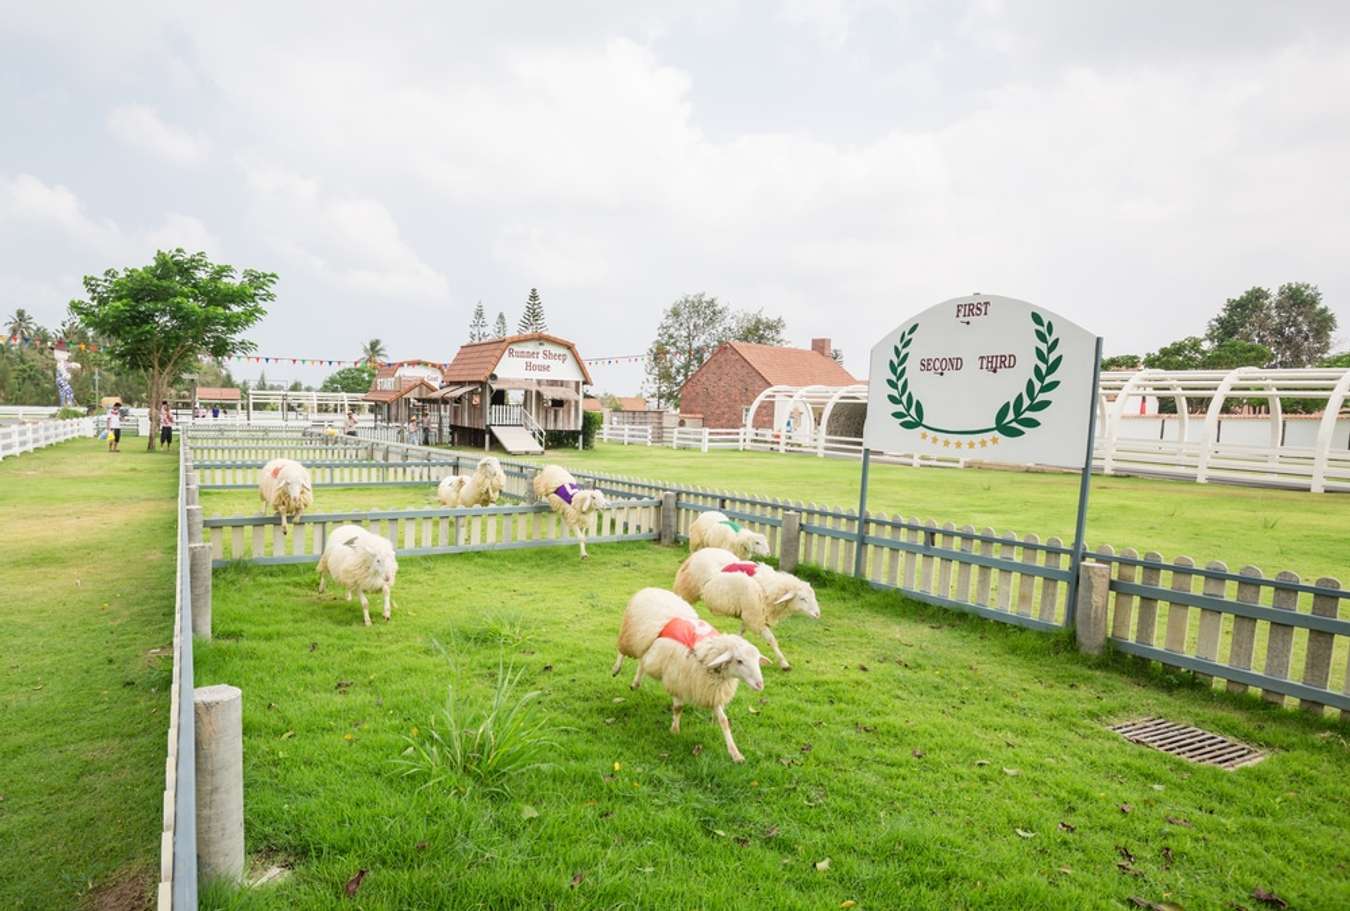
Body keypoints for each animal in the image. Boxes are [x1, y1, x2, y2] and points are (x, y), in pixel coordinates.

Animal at [615, 588, 772, 761]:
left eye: (757, 660)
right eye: (739, 661)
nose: (760, 685)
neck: (705, 655)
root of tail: (652, 589)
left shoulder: (711, 691)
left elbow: (724, 721)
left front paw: (735, 753)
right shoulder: (677, 682)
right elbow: (678, 708)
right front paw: (675, 730)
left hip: (648, 646)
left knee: (643, 662)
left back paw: (635, 683)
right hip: (632, 636)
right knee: (622, 652)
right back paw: (616, 669)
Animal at [675, 547, 820, 669]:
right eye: (802, 598)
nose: (818, 614)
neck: (767, 589)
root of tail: (697, 554)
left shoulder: (747, 615)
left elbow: (742, 632)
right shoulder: (755, 619)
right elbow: (771, 640)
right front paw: (784, 663)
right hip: (687, 591)